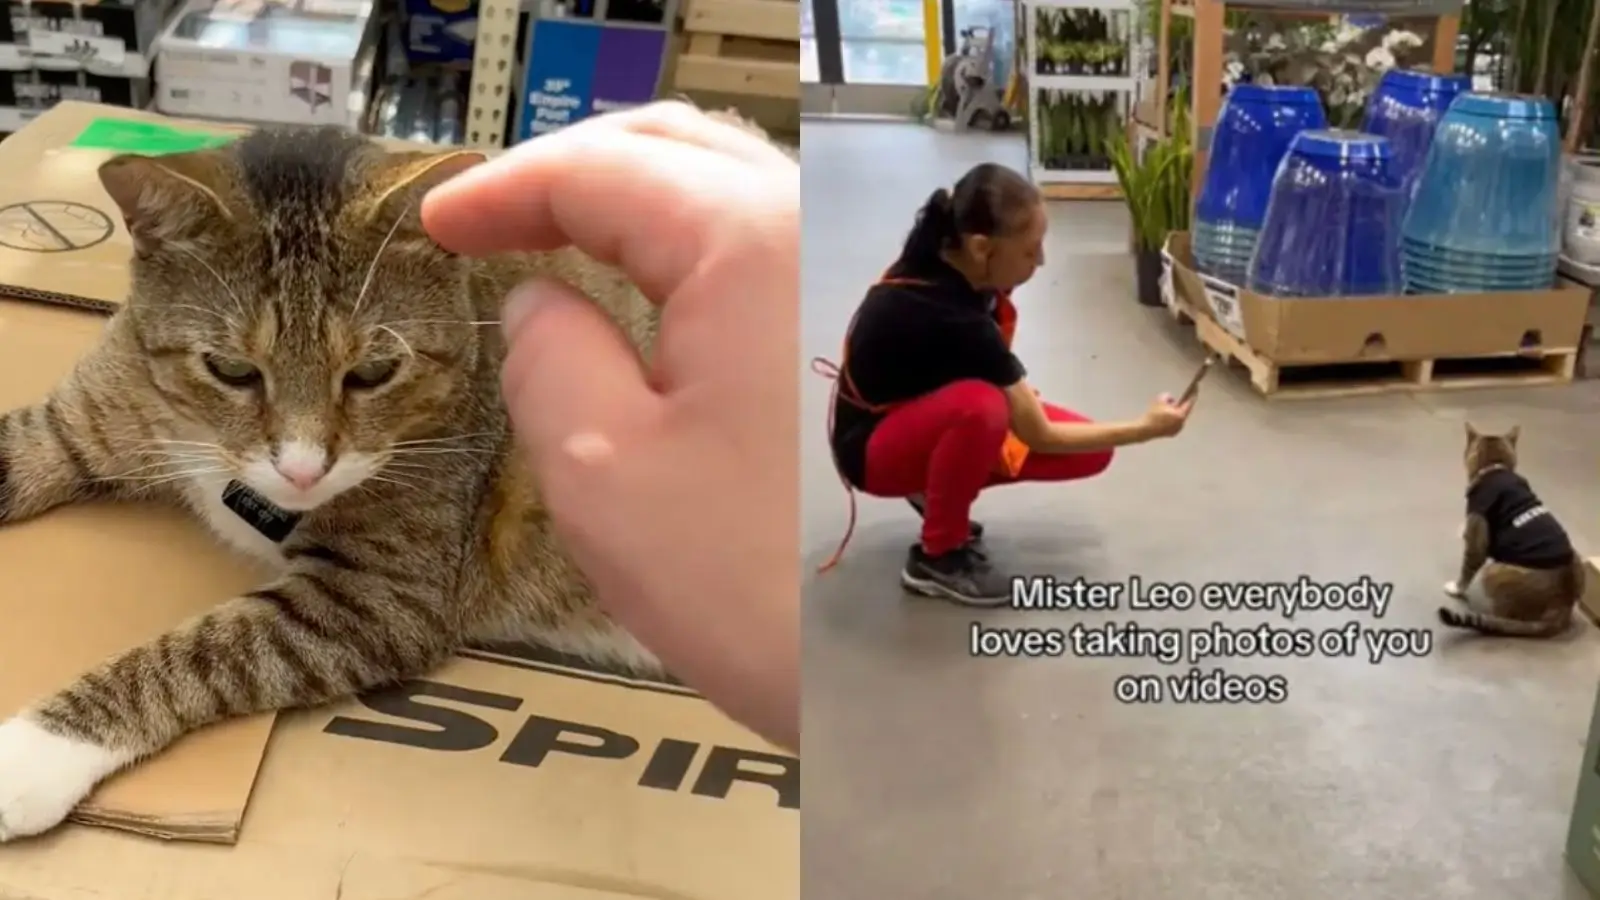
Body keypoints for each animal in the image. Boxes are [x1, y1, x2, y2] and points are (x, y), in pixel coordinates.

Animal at [1440, 422, 1587, 637]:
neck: (1493, 467)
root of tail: (1563, 607)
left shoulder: (1476, 541)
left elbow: (1466, 570)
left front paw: (1456, 589)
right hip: (1575, 554)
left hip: (1493, 570)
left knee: (1506, 618)